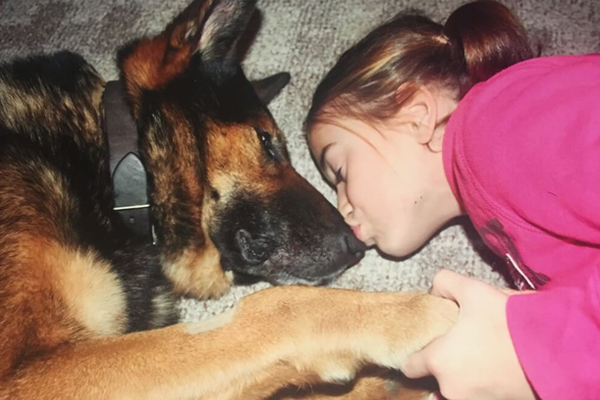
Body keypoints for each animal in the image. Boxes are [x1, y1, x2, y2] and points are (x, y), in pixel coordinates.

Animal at [0, 0, 454, 398]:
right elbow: (279, 308)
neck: (113, 171)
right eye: (267, 142)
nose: (357, 246)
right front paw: (411, 315)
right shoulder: (28, 371)